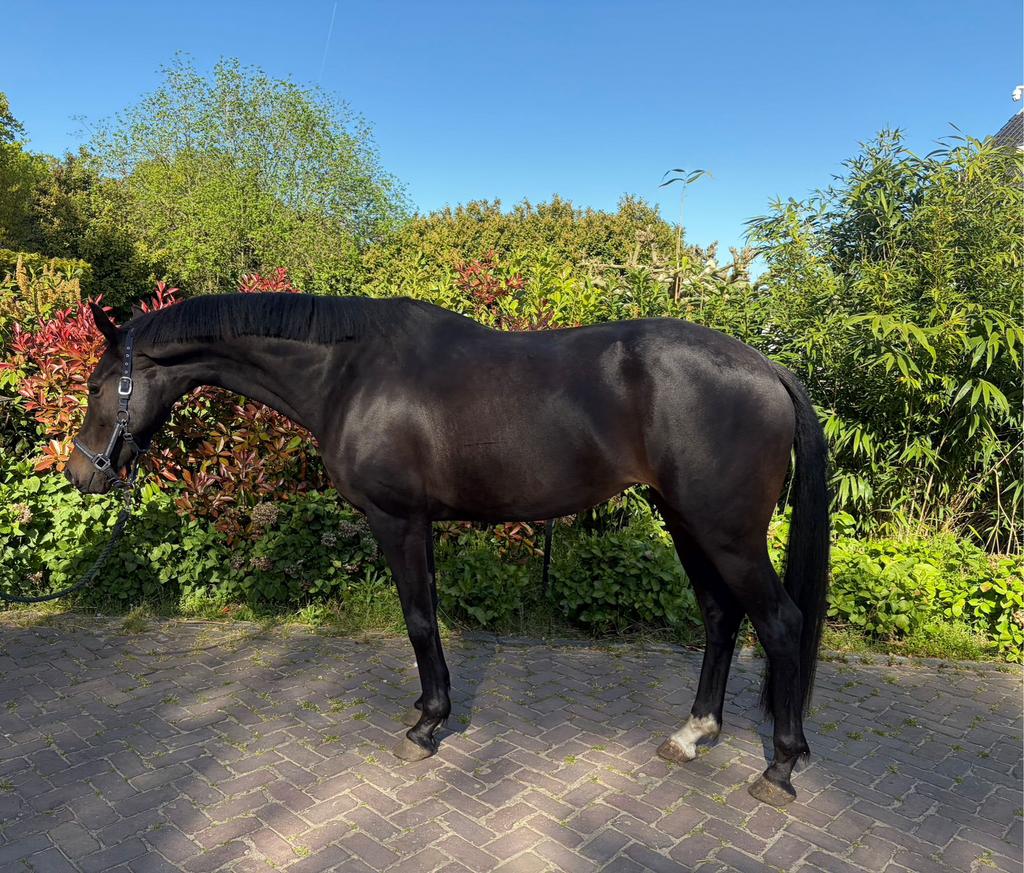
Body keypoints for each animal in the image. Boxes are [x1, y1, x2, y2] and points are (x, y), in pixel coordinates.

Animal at [66, 293, 829, 806]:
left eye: (98, 385)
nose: (82, 473)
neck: (349, 373)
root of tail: (766, 368)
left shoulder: (396, 519)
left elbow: (417, 618)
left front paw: (426, 726)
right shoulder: (421, 524)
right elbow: (428, 616)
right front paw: (433, 709)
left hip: (725, 532)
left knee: (780, 622)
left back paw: (780, 767)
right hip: (686, 521)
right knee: (720, 616)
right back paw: (694, 733)